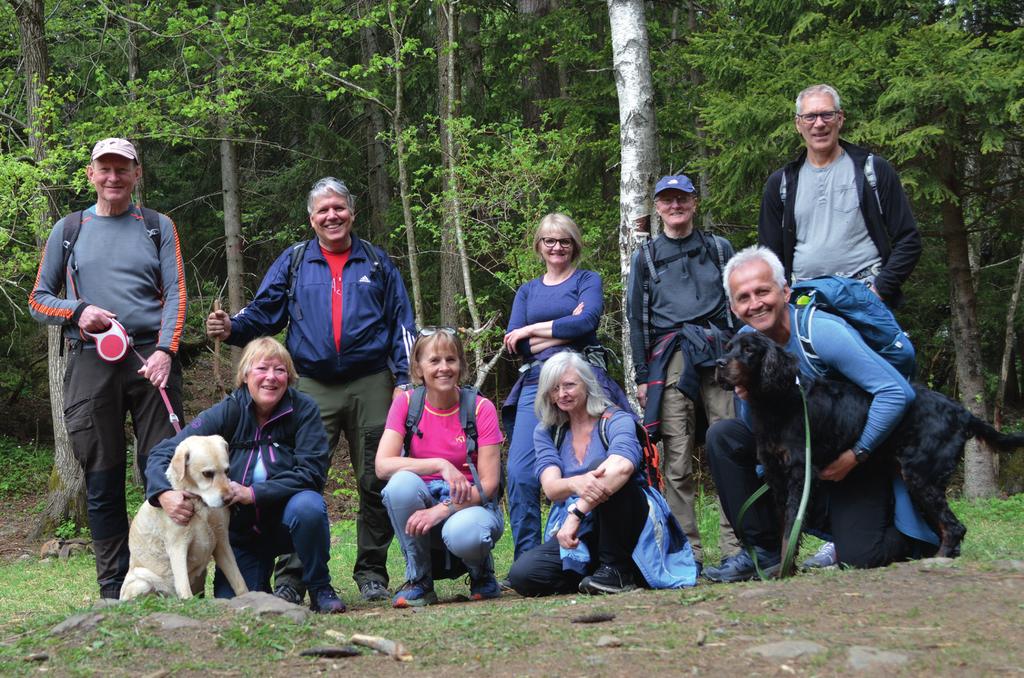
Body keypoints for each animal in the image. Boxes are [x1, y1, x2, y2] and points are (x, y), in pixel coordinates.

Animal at [118, 436, 247, 602]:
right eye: (207, 474)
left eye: (227, 471)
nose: (229, 499)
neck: (200, 503)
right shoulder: (177, 546)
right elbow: (183, 586)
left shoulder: (222, 542)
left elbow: (239, 581)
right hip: (142, 581)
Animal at [716, 331, 1019, 577]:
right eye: (728, 347)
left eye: (749, 349)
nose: (719, 363)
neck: (777, 401)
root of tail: (961, 412)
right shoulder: (776, 476)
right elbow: (783, 529)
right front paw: (782, 566)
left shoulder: (799, 476)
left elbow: (791, 528)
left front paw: (783, 571)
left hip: (921, 476)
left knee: (954, 527)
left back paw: (937, 560)